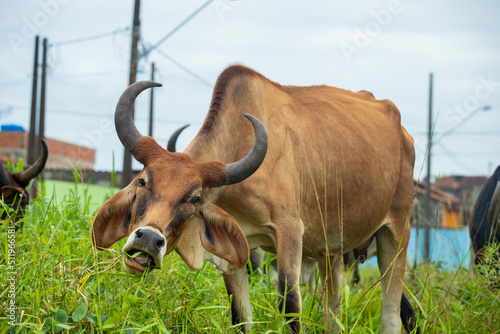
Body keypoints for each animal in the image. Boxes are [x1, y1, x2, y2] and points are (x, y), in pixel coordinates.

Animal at [91, 66, 418, 334]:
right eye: (143, 180)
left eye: (195, 198)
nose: (148, 239)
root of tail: (403, 132)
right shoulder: (237, 256)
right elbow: (240, 317)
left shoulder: (289, 232)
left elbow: (289, 305)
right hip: (332, 252)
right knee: (333, 313)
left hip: (396, 234)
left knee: (393, 315)